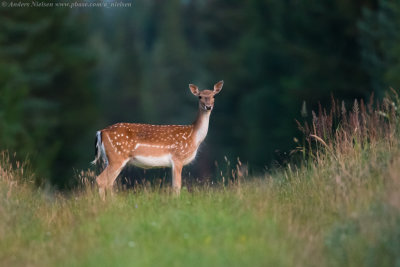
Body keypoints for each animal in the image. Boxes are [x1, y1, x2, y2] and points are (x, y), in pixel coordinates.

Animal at [91, 80, 225, 198]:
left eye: (214, 96)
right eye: (200, 97)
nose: (208, 107)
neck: (193, 136)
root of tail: (101, 132)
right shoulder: (178, 158)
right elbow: (177, 187)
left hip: (110, 159)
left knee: (108, 182)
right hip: (117, 157)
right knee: (102, 180)